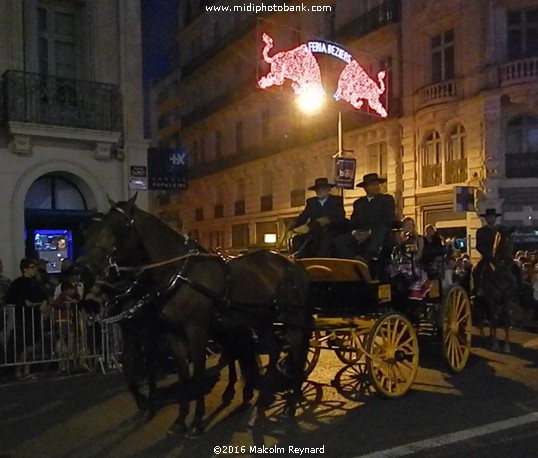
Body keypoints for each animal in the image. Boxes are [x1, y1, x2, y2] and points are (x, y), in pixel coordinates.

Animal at [81, 193, 312, 436]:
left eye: (121, 226)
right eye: (102, 225)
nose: (87, 266)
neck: (179, 274)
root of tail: (293, 263)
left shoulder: (195, 330)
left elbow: (198, 370)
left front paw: (197, 421)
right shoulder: (172, 333)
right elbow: (183, 373)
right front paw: (180, 419)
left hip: (291, 318)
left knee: (297, 350)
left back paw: (292, 401)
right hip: (260, 319)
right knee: (273, 348)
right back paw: (264, 396)